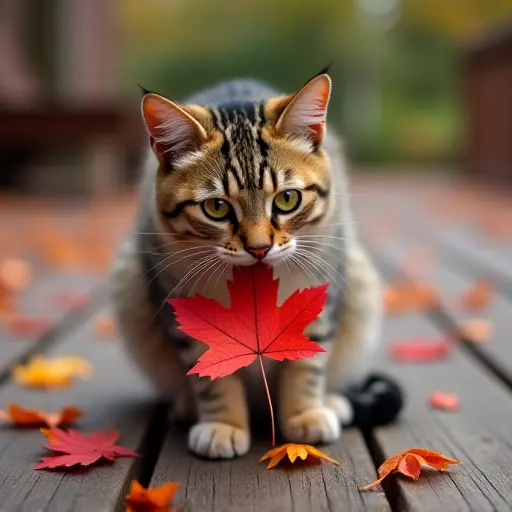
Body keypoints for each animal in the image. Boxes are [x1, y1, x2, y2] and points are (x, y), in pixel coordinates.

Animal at [111, 70, 400, 458]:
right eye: (216, 207)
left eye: (288, 199)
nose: (259, 248)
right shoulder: (183, 307)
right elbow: (212, 378)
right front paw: (223, 424)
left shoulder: (321, 291)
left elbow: (307, 363)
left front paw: (304, 414)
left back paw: (332, 403)